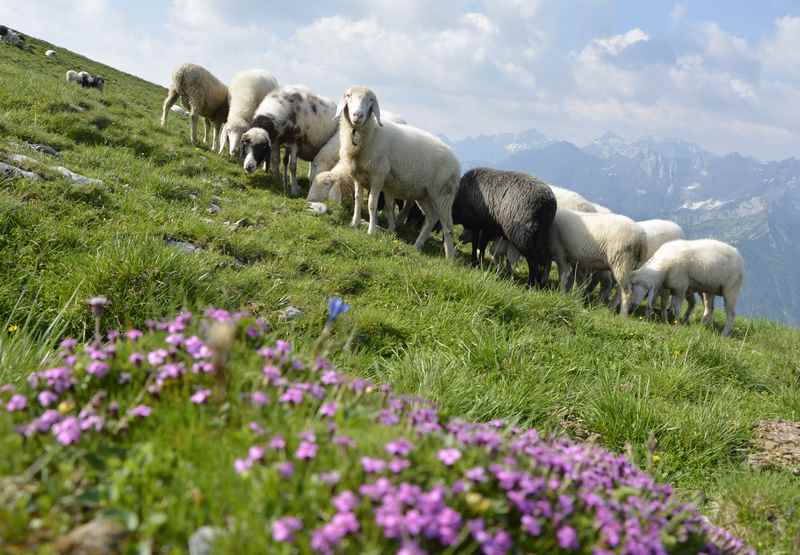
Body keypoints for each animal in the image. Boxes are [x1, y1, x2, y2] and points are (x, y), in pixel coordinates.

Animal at [332, 86, 460, 258]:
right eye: (348, 96)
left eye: (370, 100)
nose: (358, 115)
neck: (370, 134)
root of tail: (457, 162)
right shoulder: (358, 176)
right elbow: (358, 199)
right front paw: (355, 223)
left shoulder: (378, 176)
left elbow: (372, 204)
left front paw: (371, 231)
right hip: (424, 194)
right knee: (431, 218)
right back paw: (417, 246)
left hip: (443, 194)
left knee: (448, 226)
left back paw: (450, 256)